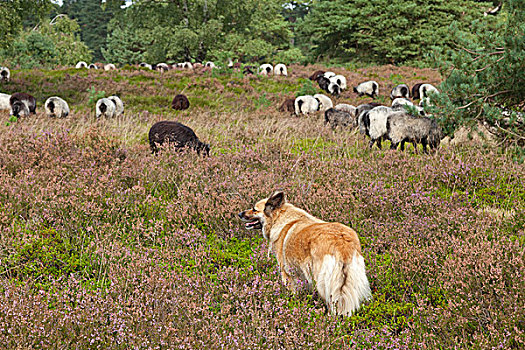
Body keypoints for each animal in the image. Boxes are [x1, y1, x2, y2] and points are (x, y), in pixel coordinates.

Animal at [239, 193, 370, 316]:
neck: (279, 218)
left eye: (254, 209)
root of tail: (341, 241)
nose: (239, 214)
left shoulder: (287, 274)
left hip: (323, 281)